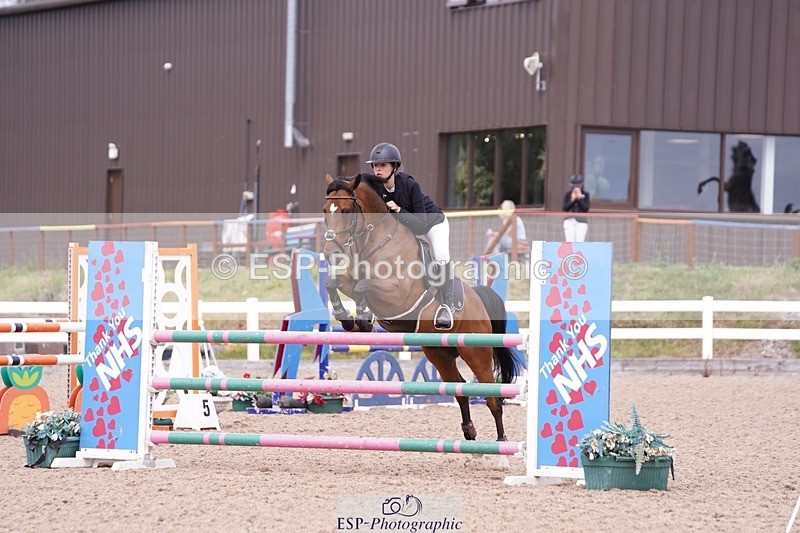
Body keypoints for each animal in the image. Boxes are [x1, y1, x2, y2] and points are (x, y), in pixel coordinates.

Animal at [322, 173, 523, 442]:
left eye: (345, 210)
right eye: (325, 211)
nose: (330, 253)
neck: (375, 240)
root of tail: (479, 301)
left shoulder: (398, 293)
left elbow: (364, 285)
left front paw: (363, 319)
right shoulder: (351, 281)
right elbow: (334, 283)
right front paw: (348, 318)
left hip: (476, 353)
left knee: (493, 398)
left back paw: (501, 445)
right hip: (439, 353)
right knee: (459, 388)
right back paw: (469, 432)